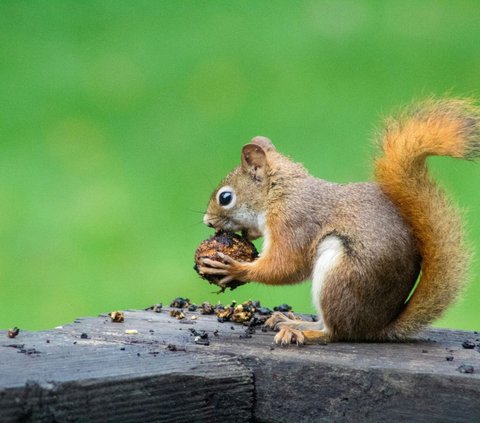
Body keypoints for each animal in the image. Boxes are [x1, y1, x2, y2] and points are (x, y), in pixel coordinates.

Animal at [197, 99, 478, 344]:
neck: (280, 192)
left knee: (335, 332)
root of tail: (375, 328)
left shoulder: (294, 222)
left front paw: (234, 268)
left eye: (225, 198)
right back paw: (290, 321)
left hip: (340, 275)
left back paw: (302, 332)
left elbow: (286, 265)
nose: (207, 221)